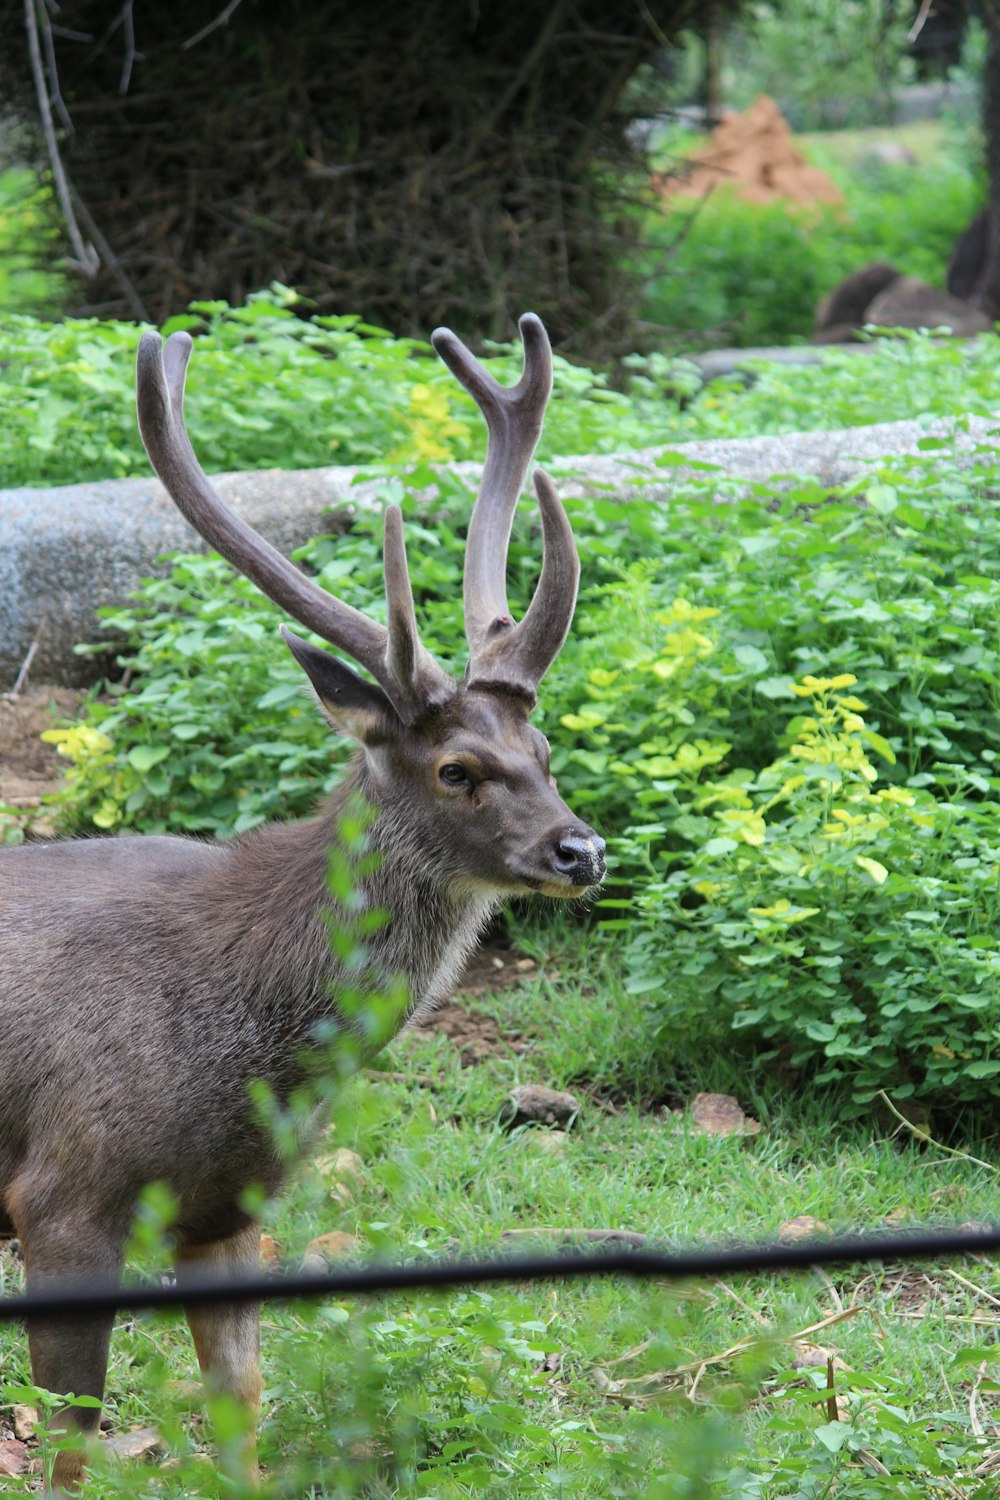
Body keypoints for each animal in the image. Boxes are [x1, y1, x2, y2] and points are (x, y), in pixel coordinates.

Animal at [0, 313, 602, 1488]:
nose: (581, 849)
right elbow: (69, 1449)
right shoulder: (62, 1194)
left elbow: (243, 1414)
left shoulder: (229, 1211)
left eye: (546, 749)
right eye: (456, 768)